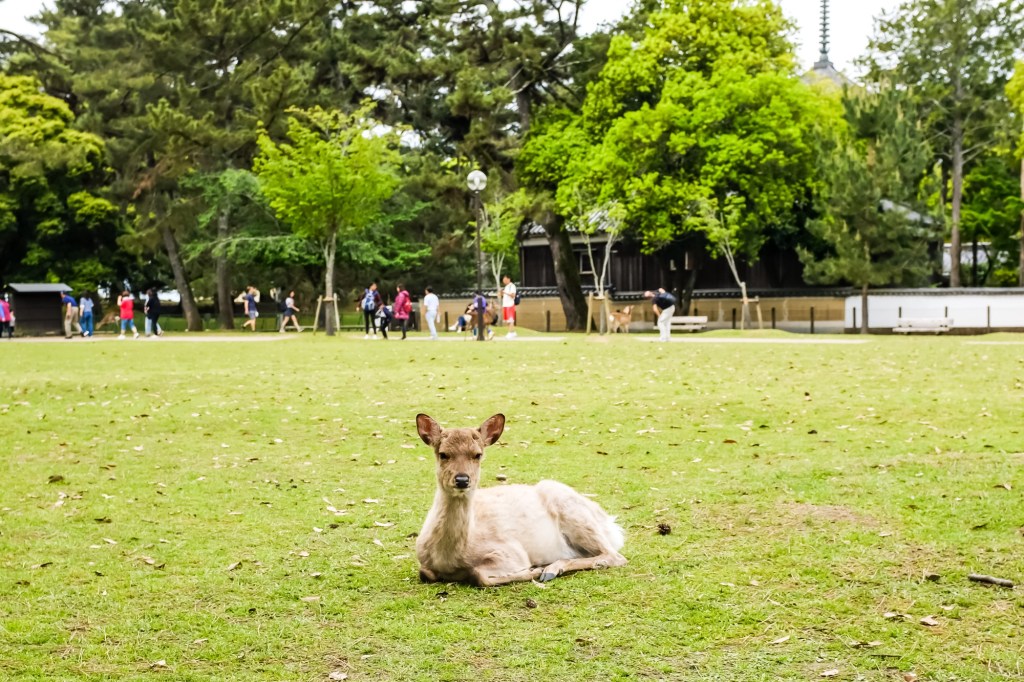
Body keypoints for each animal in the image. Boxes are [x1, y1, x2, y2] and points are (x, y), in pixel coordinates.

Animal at [414, 413, 627, 587]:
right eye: (443, 454)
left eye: (477, 454)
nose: (462, 479)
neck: (450, 558)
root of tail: (611, 524)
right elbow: (424, 573)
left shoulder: (511, 551)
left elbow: (478, 575)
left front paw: (534, 570)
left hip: (575, 512)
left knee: (615, 556)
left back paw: (550, 570)